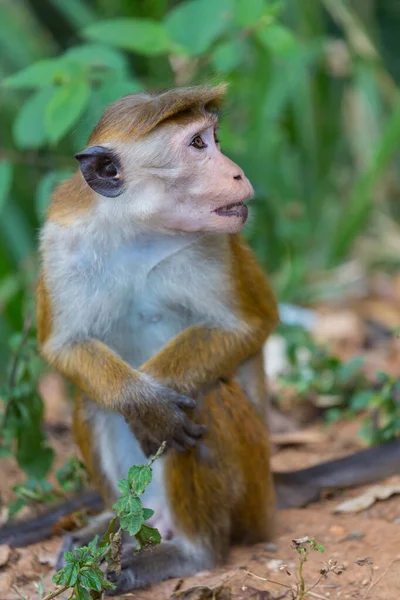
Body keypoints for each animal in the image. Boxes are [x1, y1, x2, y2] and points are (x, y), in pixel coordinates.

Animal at [3, 83, 400, 592]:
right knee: (92, 399)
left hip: (252, 498)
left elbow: (245, 326)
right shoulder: (61, 240)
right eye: (197, 144)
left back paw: (193, 552)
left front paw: (158, 402)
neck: (137, 231)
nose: (237, 171)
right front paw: (144, 404)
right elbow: (64, 344)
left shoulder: (215, 243)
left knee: (205, 396)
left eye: (214, 137)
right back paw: (111, 524)